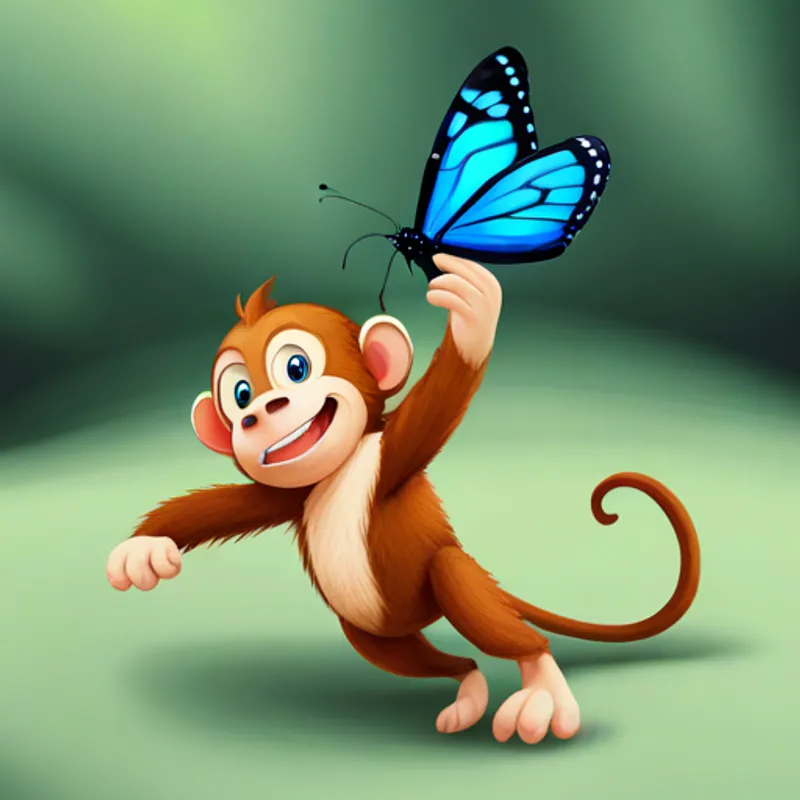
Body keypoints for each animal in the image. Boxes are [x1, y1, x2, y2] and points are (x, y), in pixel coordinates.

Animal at [106, 253, 700, 745]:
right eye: (239, 394)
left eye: (296, 369)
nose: (259, 412)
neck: (339, 470)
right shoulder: (291, 495)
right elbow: (224, 507)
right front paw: (142, 550)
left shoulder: (390, 457)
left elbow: (439, 401)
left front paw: (473, 316)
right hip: (372, 633)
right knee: (422, 656)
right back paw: (468, 685)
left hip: (440, 583)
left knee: (451, 571)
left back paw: (538, 684)